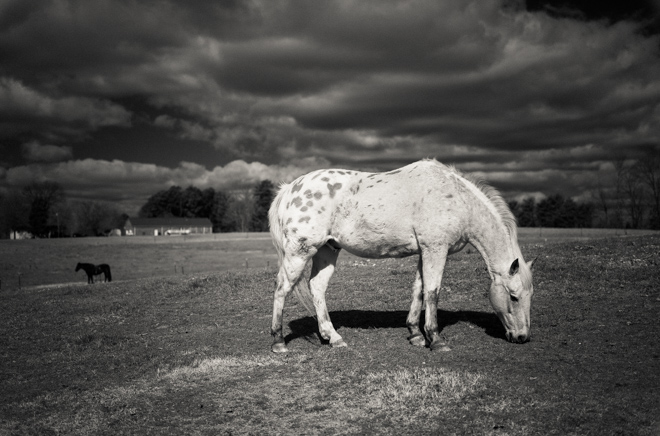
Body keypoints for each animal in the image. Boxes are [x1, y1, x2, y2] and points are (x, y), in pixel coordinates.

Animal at [268, 158, 536, 352]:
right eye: (513, 297)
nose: (522, 336)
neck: (456, 199)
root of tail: (290, 189)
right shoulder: (436, 250)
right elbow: (433, 292)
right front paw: (436, 339)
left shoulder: (424, 252)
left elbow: (419, 289)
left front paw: (415, 333)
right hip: (299, 253)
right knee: (282, 288)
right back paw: (278, 341)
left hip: (327, 251)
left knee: (317, 287)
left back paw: (333, 337)